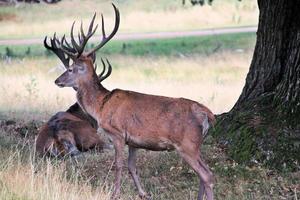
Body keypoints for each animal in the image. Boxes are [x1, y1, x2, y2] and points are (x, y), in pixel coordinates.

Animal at [47, 3, 216, 199]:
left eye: (71, 69)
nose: (56, 81)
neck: (101, 106)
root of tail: (208, 114)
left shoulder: (117, 133)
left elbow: (118, 165)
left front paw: (115, 193)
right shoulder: (134, 141)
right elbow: (132, 166)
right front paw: (143, 193)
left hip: (187, 143)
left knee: (207, 175)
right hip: (197, 143)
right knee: (204, 173)